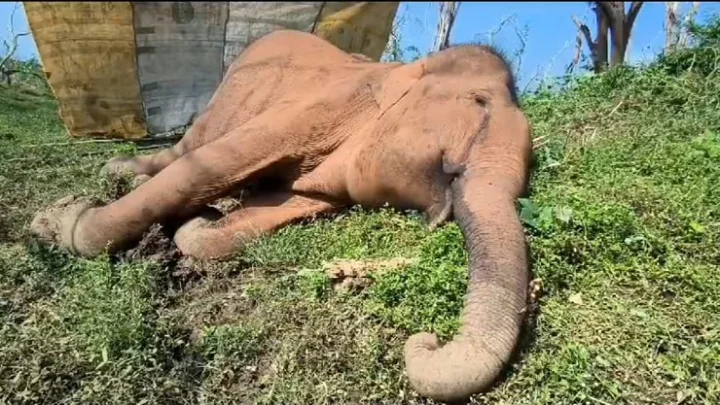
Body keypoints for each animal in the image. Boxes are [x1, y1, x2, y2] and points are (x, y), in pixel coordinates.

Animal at [30, 30, 533, 403]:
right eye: (479, 103)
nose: (426, 340)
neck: (398, 74)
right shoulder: (328, 104)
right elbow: (213, 164)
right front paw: (56, 223)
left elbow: (266, 212)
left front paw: (202, 218)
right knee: (188, 148)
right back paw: (120, 173)